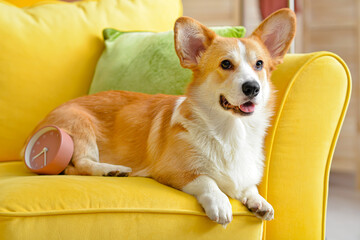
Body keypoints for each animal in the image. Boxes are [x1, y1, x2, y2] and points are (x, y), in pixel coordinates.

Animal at [26, 8, 296, 225]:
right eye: (226, 64)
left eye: (259, 64)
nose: (252, 88)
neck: (231, 131)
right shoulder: (173, 171)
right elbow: (207, 180)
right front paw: (220, 204)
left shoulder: (243, 176)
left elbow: (249, 187)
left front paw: (259, 202)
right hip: (79, 126)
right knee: (81, 164)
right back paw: (112, 170)